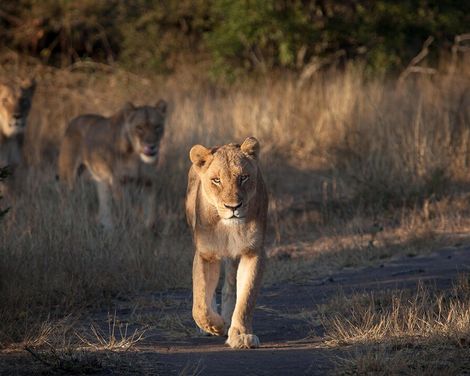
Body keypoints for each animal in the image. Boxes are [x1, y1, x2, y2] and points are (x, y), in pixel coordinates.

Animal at [186, 136, 270, 350]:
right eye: (216, 180)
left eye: (243, 178)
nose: (233, 207)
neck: (228, 228)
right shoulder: (205, 254)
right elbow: (200, 304)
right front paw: (216, 326)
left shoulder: (253, 252)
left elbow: (246, 298)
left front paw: (240, 335)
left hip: (234, 256)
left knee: (230, 287)